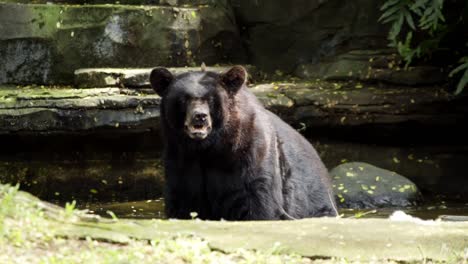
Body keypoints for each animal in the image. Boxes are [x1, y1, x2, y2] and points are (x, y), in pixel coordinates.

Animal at [152, 66, 338, 221]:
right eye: (184, 99)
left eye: (211, 99)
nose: (200, 116)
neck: (210, 148)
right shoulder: (179, 157)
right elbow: (182, 200)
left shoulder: (251, 152)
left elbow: (259, 201)